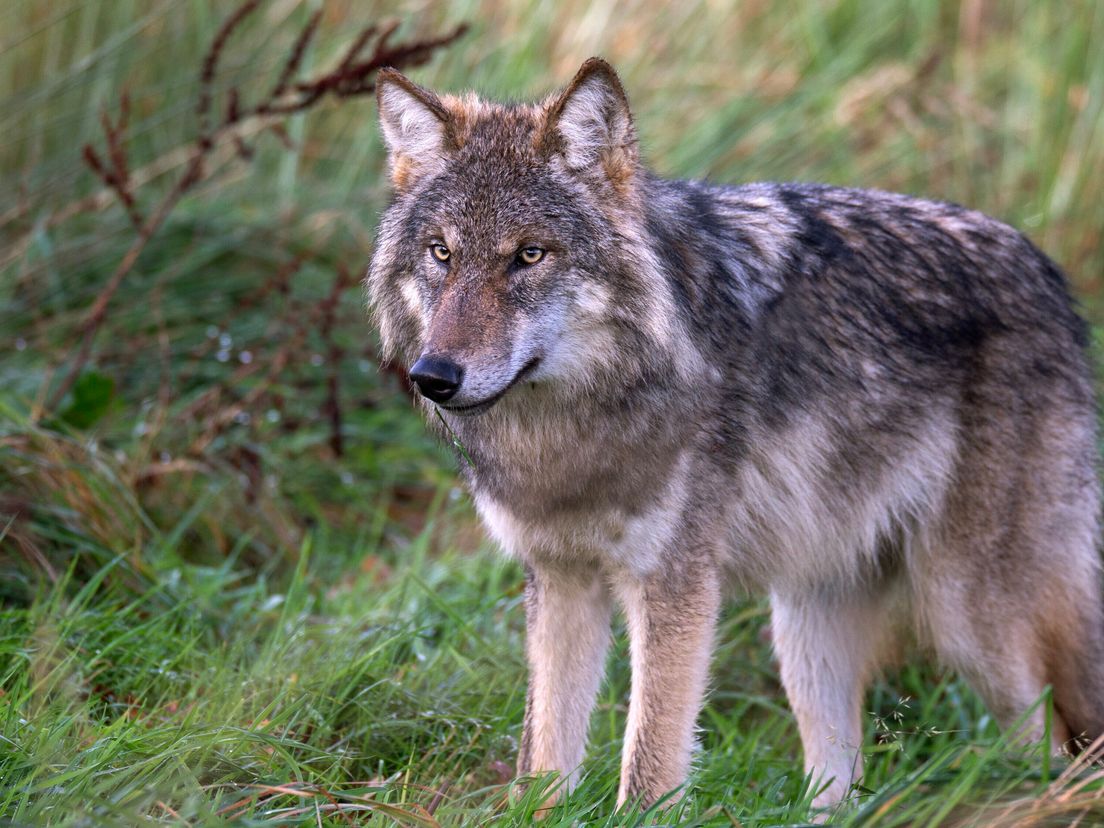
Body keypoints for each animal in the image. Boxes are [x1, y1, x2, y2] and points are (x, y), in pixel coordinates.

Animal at [366, 57, 1104, 813]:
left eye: (529, 256)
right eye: (441, 253)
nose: (433, 376)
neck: (569, 432)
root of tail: (1046, 271)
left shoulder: (676, 584)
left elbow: (650, 763)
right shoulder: (559, 578)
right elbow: (543, 760)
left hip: (966, 615)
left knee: (1051, 743)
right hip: (808, 623)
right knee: (841, 780)